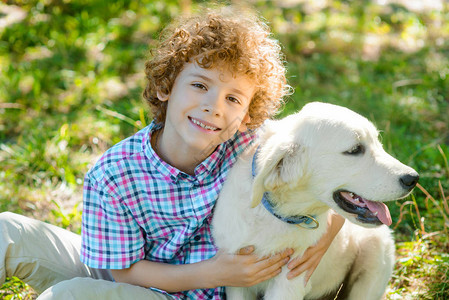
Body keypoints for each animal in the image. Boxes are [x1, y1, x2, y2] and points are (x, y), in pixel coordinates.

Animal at [212, 102, 418, 298]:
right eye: (355, 150)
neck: (276, 215)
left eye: (377, 142)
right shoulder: (238, 278)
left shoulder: (290, 281)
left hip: (375, 250)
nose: (413, 178)